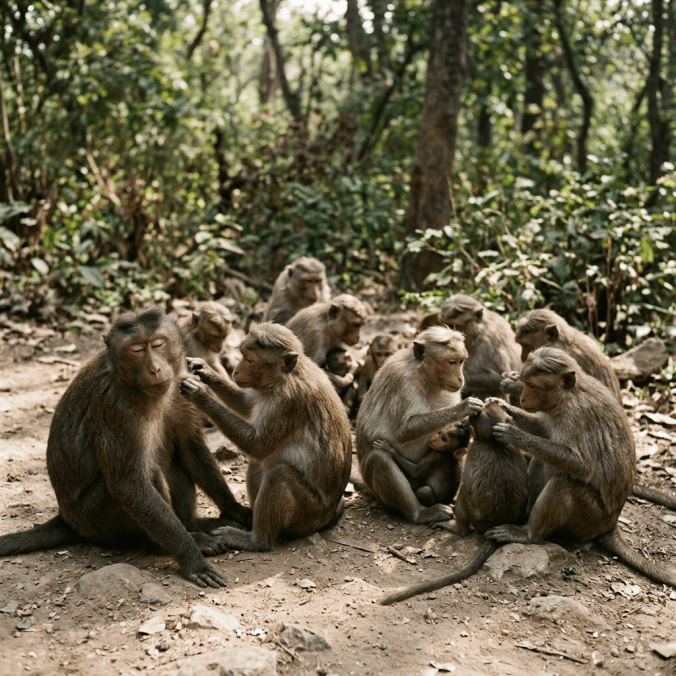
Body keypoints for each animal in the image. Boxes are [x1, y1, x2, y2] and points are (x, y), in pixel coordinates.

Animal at [0, 307, 252, 588]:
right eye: (137, 350)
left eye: (158, 344)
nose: (155, 368)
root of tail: (67, 518)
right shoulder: (116, 406)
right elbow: (128, 484)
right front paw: (193, 560)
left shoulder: (179, 386)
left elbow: (190, 449)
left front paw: (236, 510)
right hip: (95, 518)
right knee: (147, 474)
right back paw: (178, 541)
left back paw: (194, 524)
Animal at [179, 323, 352, 551]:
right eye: (243, 356)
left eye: (249, 359)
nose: (235, 370)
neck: (284, 377)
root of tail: (329, 516)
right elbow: (245, 404)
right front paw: (204, 369)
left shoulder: (287, 402)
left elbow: (256, 445)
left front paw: (200, 394)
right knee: (258, 463)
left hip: (308, 514)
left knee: (278, 473)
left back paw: (256, 540)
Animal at [356, 326, 483, 524]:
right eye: (451, 362)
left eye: (461, 361)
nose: (461, 378)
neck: (424, 375)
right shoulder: (403, 381)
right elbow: (404, 430)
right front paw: (465, 407)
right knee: (379, 458)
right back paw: (420, 513)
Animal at [381, 402, 528, 604]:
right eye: (440, 431)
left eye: (444, 438)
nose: (434, 437)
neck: (494, 443)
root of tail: (494, 526)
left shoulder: (458, 452)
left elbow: (419, 471)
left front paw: (388, 449)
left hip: (473, 517)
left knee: (454, 498)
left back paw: (454, 526)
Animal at [483, 347, 676, 588]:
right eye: (525, 383)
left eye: (533, 386)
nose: (522, 398)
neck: (567, 396)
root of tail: (612, 523)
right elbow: (544, 430)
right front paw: (503, 405)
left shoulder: (575, 415)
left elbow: (581, 466)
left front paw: (514, 435)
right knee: (541, 461)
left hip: (590, 518)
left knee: (564, 484)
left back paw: (529, 534)